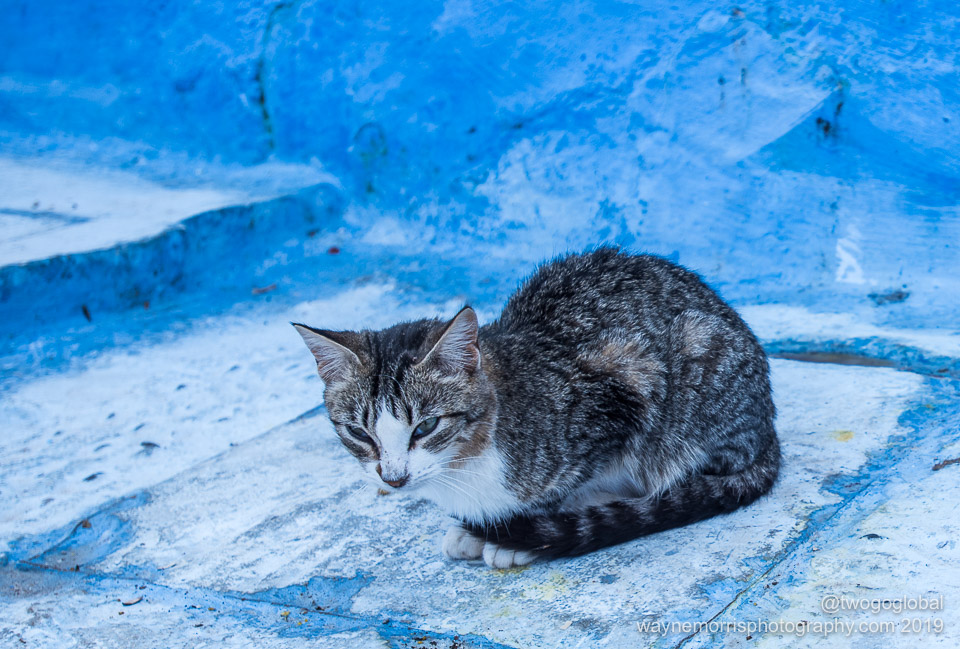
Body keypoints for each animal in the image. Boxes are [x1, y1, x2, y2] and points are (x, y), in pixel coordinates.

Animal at [294, 247, 780, 568]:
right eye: (359, 433)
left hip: (698, 360)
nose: (393, 478)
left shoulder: (623, 389)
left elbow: (569, 484)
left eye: (426, 426)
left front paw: (512, 533)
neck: (467, 463)